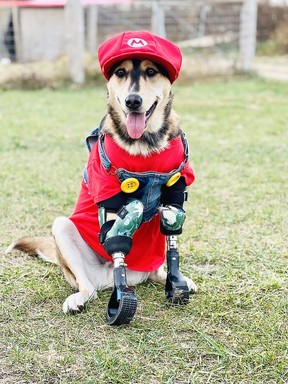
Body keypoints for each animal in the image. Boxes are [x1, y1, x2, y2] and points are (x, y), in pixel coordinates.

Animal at [5, 31, 197, 316]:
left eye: (151, 71)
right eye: (120, 72)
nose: (132, 101)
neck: (143, 144)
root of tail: (109, 277)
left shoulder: (177, 183)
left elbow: (174, 213)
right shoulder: (108, 191)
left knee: (156, 268)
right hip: (64, 230)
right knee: (89, 288)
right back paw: (82, 297)